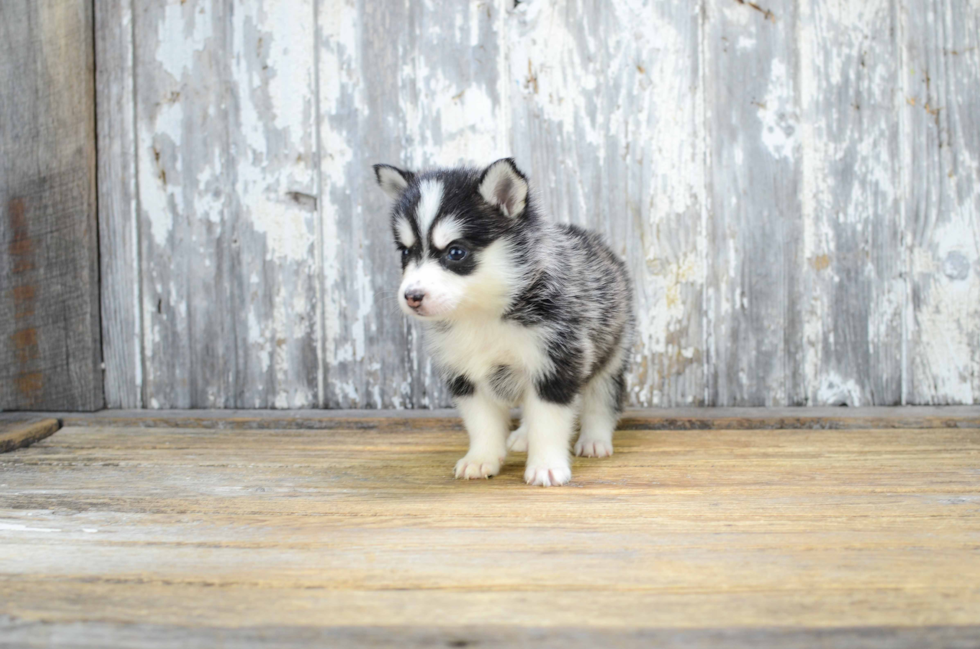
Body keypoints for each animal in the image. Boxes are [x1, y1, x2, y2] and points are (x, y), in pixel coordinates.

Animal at [372, 158, 632, 486]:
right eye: (406, 252)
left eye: (456, 252)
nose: (412, 296)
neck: (483, 314)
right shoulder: (464, 374)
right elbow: (482, 422)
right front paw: (480, 459)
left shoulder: (556, 362)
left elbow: (548, 420)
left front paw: (546, 465)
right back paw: (523, 436)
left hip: (612, 349)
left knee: (602, 396)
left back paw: (595, 439)